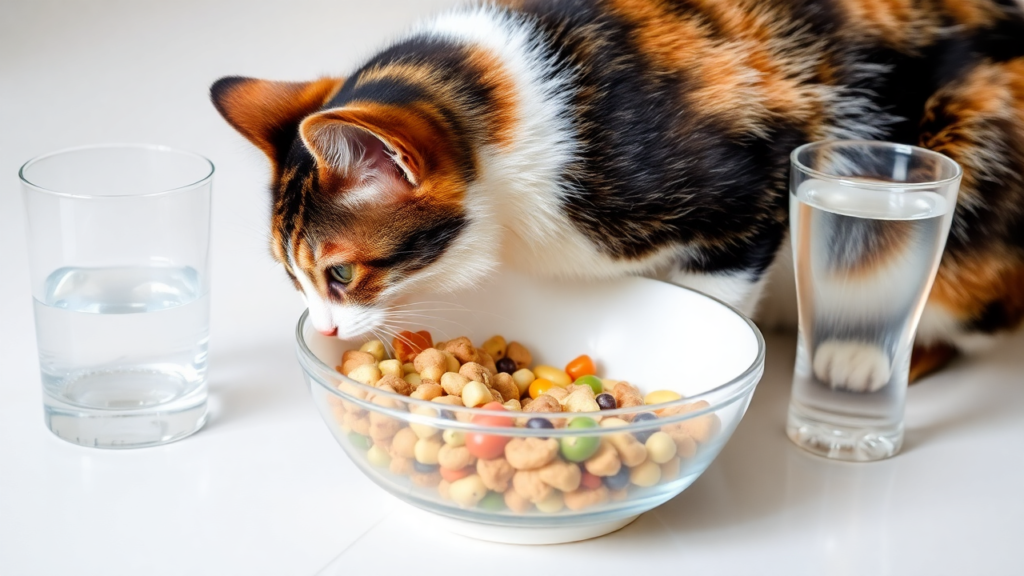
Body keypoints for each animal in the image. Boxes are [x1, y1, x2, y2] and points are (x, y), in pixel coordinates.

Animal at [209, 0, 1024, 387]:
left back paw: (864, 357)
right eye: (292, 276)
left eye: (342, 273)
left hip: (961, 173)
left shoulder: (752, 180)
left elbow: (717, 297)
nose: (325, 329)